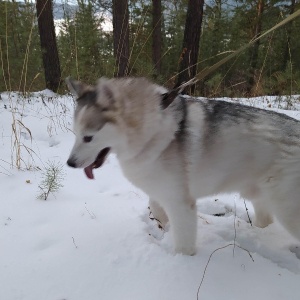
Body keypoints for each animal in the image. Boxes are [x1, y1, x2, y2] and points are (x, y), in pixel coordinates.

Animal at [67, 77, 300, 255]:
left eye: (88, 138)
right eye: (75, 133)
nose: (70, 163)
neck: (152, 130)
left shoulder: (180, 203)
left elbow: (183, 241)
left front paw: (182, 262)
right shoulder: (162, 188)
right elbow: (155, 205)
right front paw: (163, 225)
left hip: (287, 210)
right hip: (259, 196)